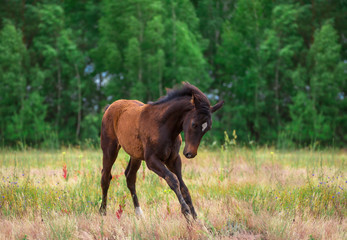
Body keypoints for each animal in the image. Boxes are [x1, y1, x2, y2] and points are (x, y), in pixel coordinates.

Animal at [99, 82, 224, 219]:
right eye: (194, 124)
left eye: (208, 128)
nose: (190, 153)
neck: (163, 126)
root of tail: (110, 107)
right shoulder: (151, 160)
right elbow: (173, 180)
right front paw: (186, 213)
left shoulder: (173, 159)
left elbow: (184, 187)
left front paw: (195, 217)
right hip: (110, 149)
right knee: (106, 176)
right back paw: (103, 212)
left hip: (135, 155)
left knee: (130, 177)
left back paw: (139, 213)